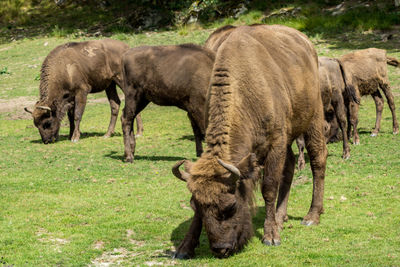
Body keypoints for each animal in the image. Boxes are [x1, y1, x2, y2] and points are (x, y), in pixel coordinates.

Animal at [170, 25, 326, 260]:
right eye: (194, 205)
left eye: (231, 206)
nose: (221, 249)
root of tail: (305, 42)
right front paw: (184, 247)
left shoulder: (276, 143)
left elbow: (269, 186)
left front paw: (271, 236)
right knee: (289, 167)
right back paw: (281, 217)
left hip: (313, 118)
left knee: (317, 160)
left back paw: (311, 216)